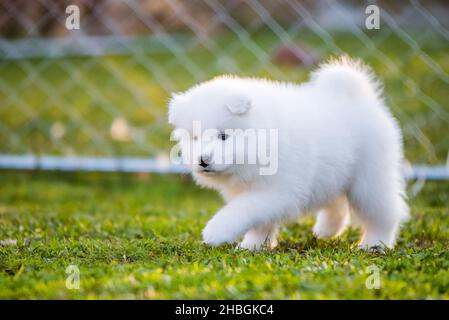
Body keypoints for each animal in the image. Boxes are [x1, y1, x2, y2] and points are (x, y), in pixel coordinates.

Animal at [166, 56, 408, 250]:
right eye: (195, 138)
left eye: (224, 136)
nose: (202, 160)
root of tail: (359, 96)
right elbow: (259, 223)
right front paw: (253, 246)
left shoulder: (277, 191)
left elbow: (242, 209)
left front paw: (216, 232)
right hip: (334, 174)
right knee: (337, 205)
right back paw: (326, 230)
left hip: (369, 181)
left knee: (384, 215)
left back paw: (374, 244)